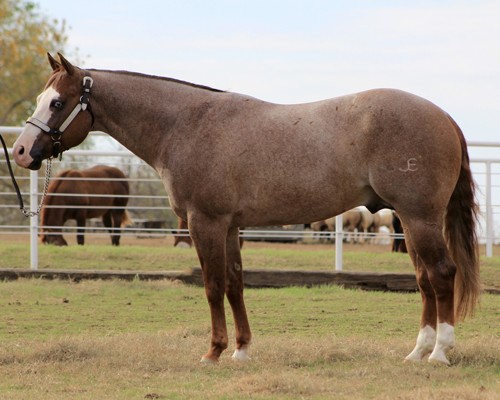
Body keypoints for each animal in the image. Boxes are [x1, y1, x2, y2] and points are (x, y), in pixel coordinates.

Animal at [12, 54, 480, 366]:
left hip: (419, 218)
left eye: (57, 103)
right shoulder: (231, 227)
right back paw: (417, 351)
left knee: (442, 274)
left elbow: (212, 285)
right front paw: (241, 350)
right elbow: (236, 284)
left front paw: (213, 352)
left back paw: (440, 353)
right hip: (411, 221)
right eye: (40, 97)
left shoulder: (205, 223)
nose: (20, 151)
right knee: (424, 279)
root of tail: (444, 116)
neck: (187, 125)